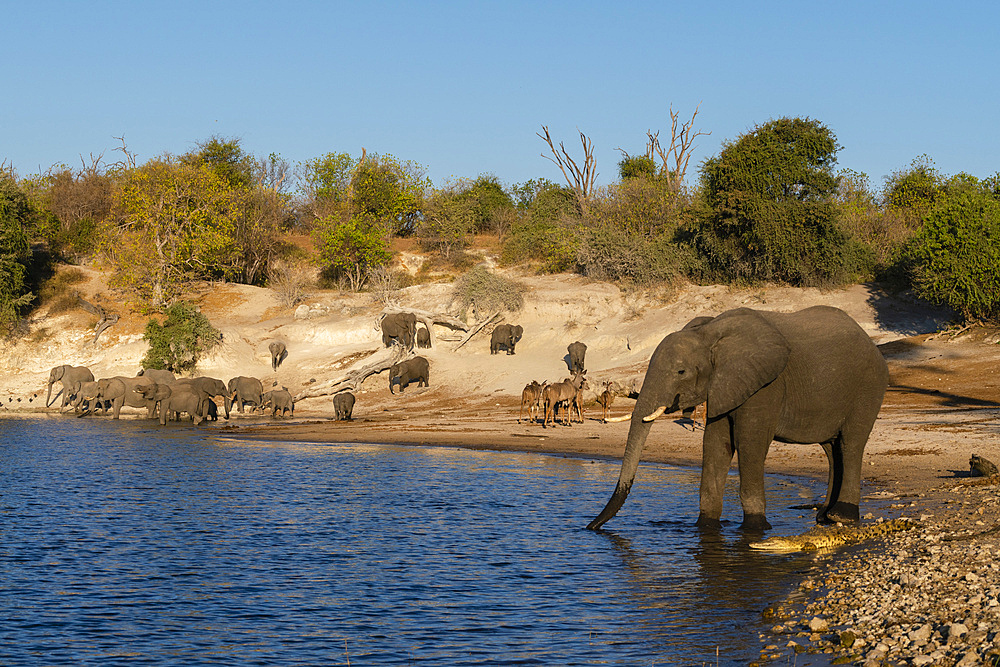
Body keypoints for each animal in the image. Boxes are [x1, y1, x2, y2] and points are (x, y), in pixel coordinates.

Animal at [584, 306, 892, 532]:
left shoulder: (766, 385)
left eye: (681, 372)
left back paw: (843, 517)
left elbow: (749, 444)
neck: (709, 334)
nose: (590, 528)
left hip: (869, 385)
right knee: (831, 449)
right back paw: (824, 517)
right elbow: (715, 445)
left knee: (851, 444)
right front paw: (706, 527)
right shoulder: (724, 385)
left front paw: (756, 529)